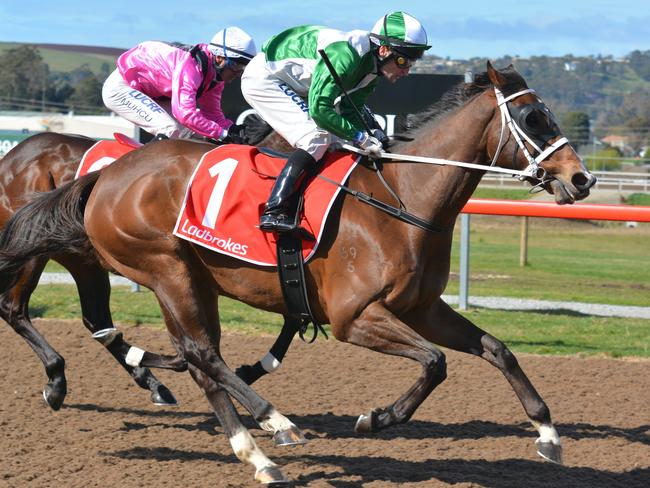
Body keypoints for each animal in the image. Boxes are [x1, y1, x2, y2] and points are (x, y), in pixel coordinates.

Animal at [0, 65, 596, 484]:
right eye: (534, 118)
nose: (582, 179)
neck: (402, 200)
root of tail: (103, 179)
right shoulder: (356, 318)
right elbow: (435, 362)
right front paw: (376, 417)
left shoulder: (422, 307)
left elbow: (497, 350)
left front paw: (548, 433)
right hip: (162, 268)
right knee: (195, 353)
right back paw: (268, 428)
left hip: (178, 274)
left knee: (191, 356)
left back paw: (243, 437)